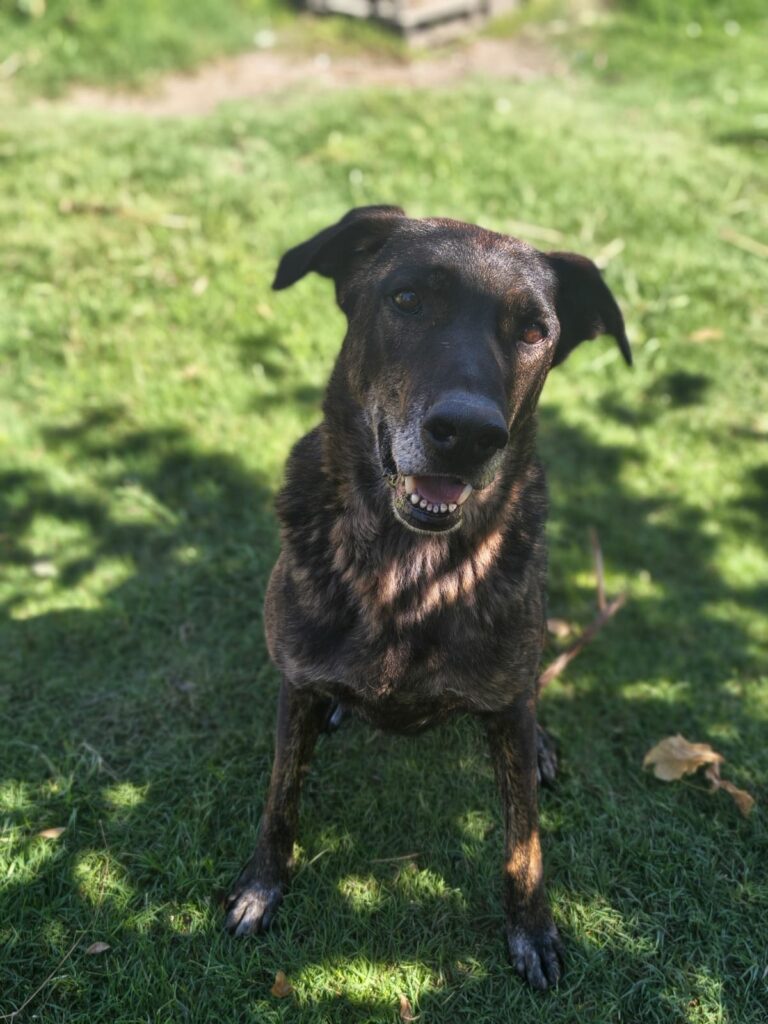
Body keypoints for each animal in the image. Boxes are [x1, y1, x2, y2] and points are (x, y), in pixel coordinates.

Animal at [224, 206, 630, 989]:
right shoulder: (296, 683)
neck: (407, 573)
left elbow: (524, 840)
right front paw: (262, 888)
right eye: (407, 299)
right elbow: (279, 800)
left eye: (533, 331)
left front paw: (532, 929)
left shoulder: (506, 702)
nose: (468, 434)